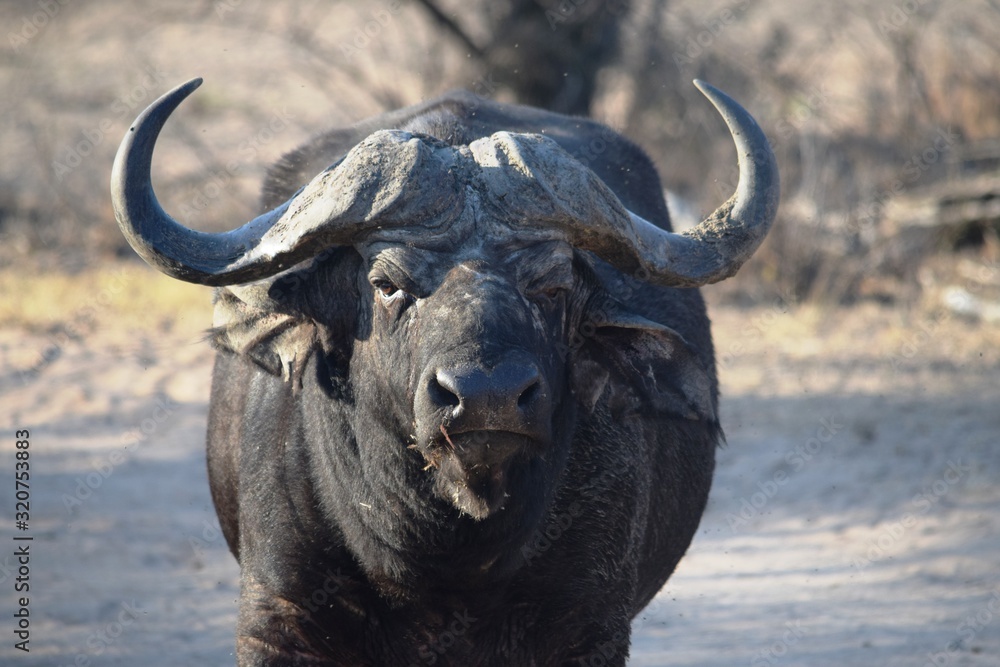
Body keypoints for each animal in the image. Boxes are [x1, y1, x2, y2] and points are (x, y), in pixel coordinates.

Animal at [111, 77, 778, 665]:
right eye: (386, 284)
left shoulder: (589, 630)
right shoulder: (278, 620)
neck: (442, 557)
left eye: (553, 285)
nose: (487, 396)